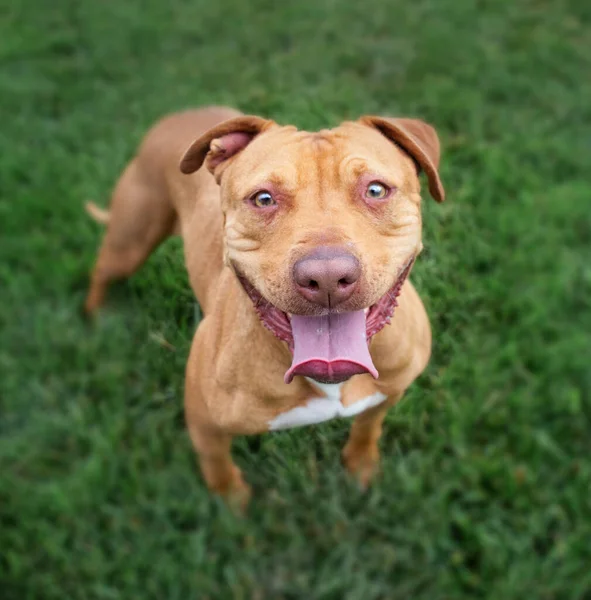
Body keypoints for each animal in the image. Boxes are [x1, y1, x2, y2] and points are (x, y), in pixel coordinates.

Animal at [83, 105, 444, 504]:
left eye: (376, 190)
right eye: (263, 199)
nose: (327, 277)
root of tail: (181, 115)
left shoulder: (387, 394)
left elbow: (368, 428)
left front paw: (361, 466)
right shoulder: (204, 423)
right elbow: (218, 467)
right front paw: (232, 503)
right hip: (130, 240)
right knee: (102, 271)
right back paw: (95, 317)